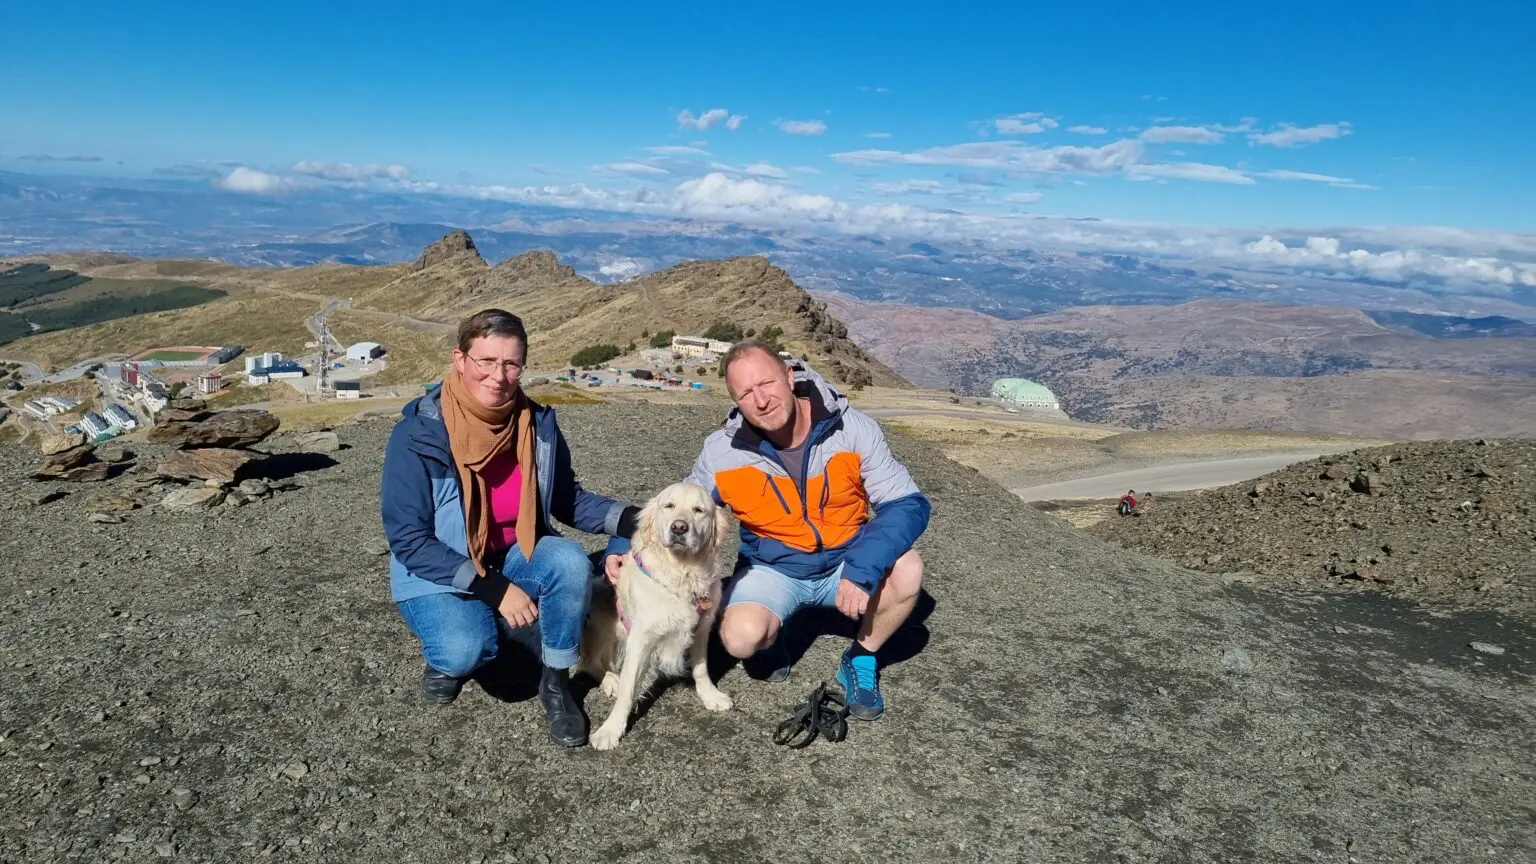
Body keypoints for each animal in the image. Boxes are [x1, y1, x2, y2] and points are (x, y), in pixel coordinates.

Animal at [580, 476, 737, 747]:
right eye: (669, 506)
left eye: (699, 510)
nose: (679, 528)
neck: (682, 572)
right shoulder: (640, 638)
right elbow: (628, 691)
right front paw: (611, 729)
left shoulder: (701, 627)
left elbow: (701, 668)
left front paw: (710, 695)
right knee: (589, 662)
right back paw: (611, 680)